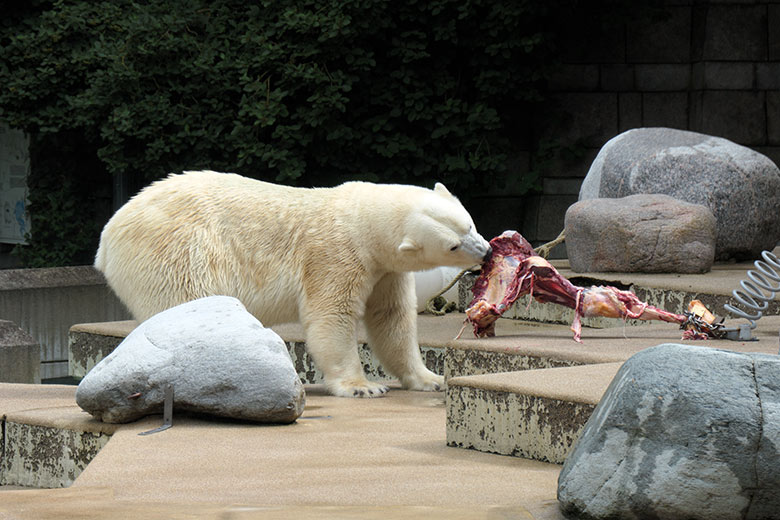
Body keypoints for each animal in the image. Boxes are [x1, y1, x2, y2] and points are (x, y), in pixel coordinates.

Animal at [94, 169, 490, 396]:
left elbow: (391, 319)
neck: (356, 221)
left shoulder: (384, 270)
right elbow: (332, 319)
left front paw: (430, 379)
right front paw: (363, 386)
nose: (486, 251)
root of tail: (107, 237)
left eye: (469, 224)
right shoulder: (335, 256)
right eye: (453, 245)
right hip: (178, 252)